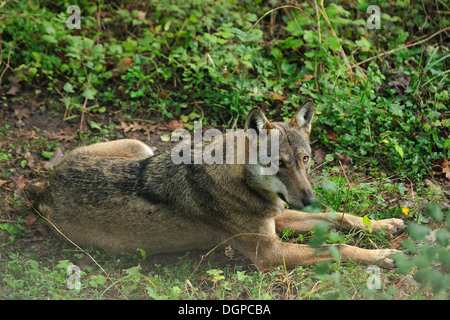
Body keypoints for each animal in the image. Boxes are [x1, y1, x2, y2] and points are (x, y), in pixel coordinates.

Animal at [29, 100, 408, 270]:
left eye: (305, 160)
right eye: (279, 164)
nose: (309, 199)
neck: (240, 180)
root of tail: (47, 187)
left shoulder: (279, 217)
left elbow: (339, 216)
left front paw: (385, 225)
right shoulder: (268, 253)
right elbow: (337, 247)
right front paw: (384, 256)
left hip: (142, 148)